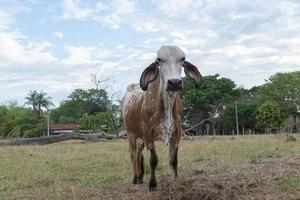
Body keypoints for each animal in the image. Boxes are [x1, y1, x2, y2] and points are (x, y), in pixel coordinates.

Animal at [122, 46, 202, 191]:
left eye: (183, 59)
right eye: (159, 60)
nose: (174, 82)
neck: (167, 105)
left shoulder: (176, 134)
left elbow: (173, 161)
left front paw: (176, 181)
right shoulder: (148, 133)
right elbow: (153, 160)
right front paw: (152, 184)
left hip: (140, 137)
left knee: (139, 153)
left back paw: (140, 177)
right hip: (131, 133)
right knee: (133, 154)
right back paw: (136, 178)